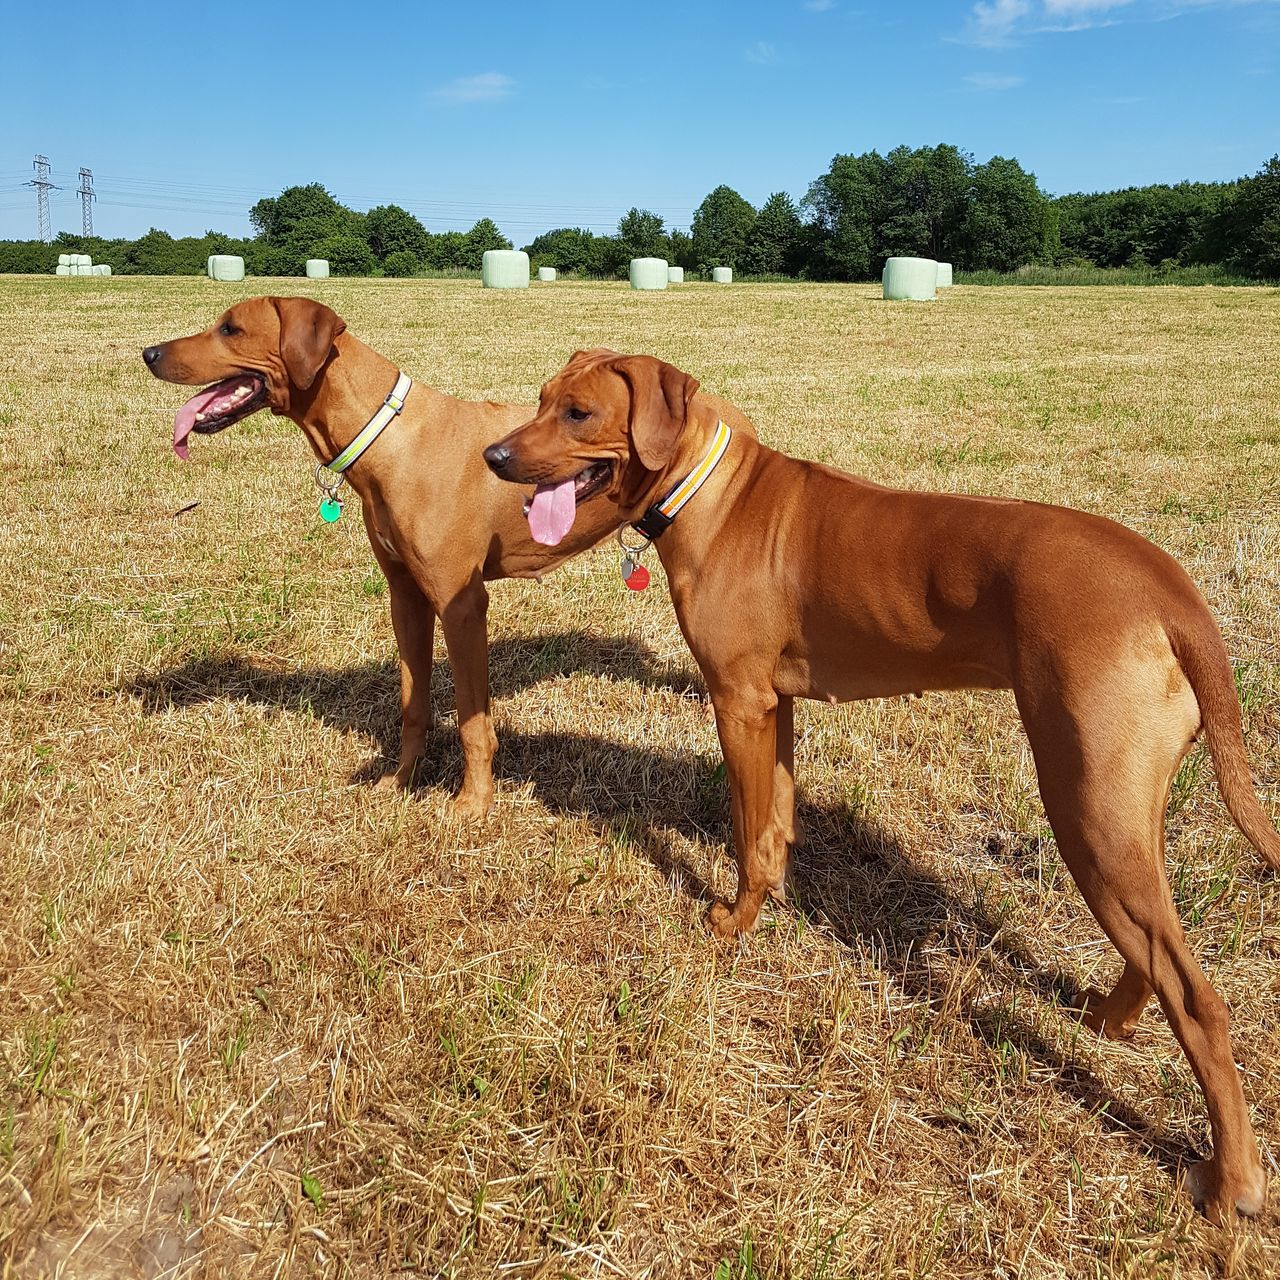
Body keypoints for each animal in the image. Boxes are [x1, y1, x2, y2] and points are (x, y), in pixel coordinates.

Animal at [144, 299, 752, 814]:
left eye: (231, 329)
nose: (148, 352)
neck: (387, 437)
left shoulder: (462, 606)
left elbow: (471, 721)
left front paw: (473, 804)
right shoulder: (406, 597)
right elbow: (413, 705)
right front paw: (401, 780)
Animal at [481, 348, 1280, 1218]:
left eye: (579, 414)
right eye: (541, 400)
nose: (493, 456)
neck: (714, 490)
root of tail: (1169, 587)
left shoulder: (738, 700)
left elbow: (746, 831)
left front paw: (733, 923)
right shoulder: (777, 706)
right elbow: (775, 823)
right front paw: (774, 900)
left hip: (1085, 805)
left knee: (1196, 997)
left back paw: (1232, 1181)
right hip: (1120, 807)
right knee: (1156, 947)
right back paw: (1109, 1017)